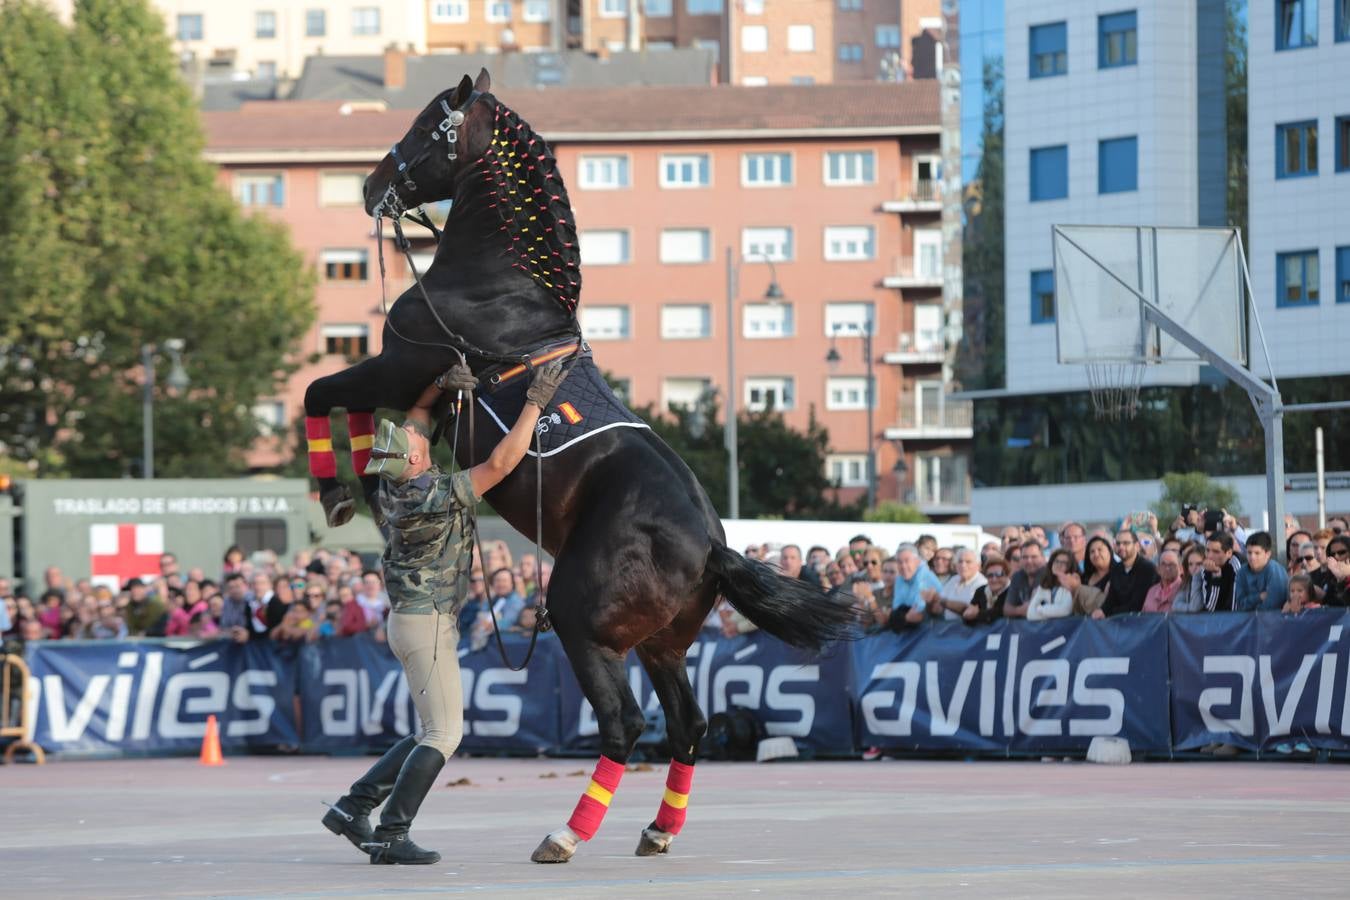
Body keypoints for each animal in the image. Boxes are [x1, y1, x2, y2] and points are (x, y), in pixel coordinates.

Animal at [305, 68, 853, 858]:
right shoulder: (422, 395)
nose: (373, 183)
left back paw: (566, 834)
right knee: (687, 725)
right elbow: (347, 409)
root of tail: (713, 546)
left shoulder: (403, 367)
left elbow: (321, 391)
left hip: (579, 619)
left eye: (427, 126)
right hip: (660, 642)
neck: (500, 289)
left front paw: (336, 489)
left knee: (626, 722)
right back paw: (657, 829)